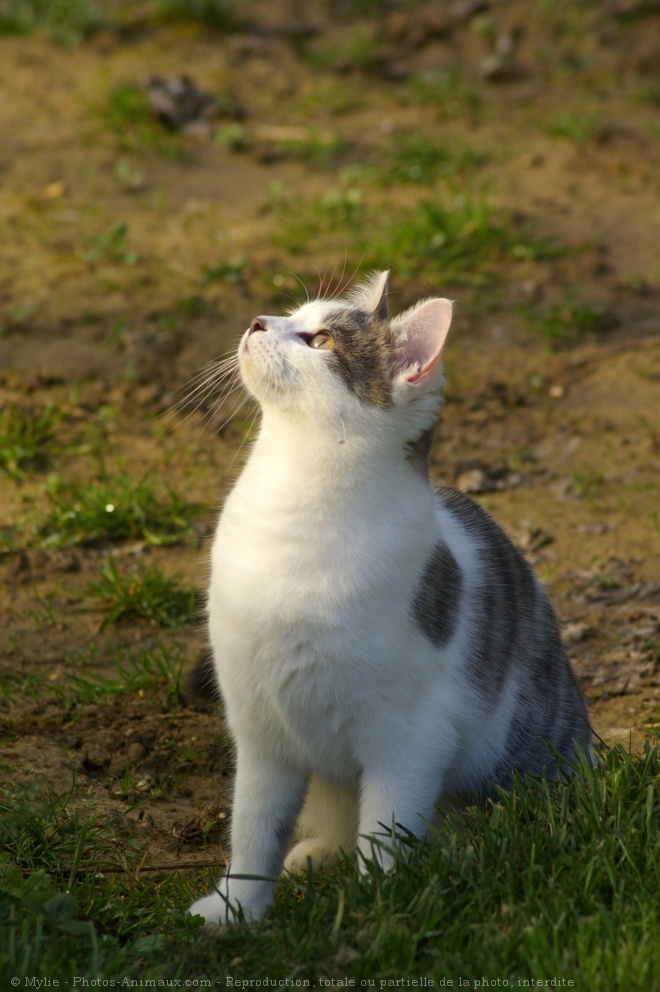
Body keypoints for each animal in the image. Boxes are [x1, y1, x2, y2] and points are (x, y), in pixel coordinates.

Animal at [187, 270, 592, 924]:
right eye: (289, 315)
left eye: (321, 340)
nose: (256, 322)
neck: (294, 515)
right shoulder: (262, 734)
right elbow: (252, 830)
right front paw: (235, 910)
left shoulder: (409, 737)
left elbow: (385, 835)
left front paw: (377, 909)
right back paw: (318, 851)